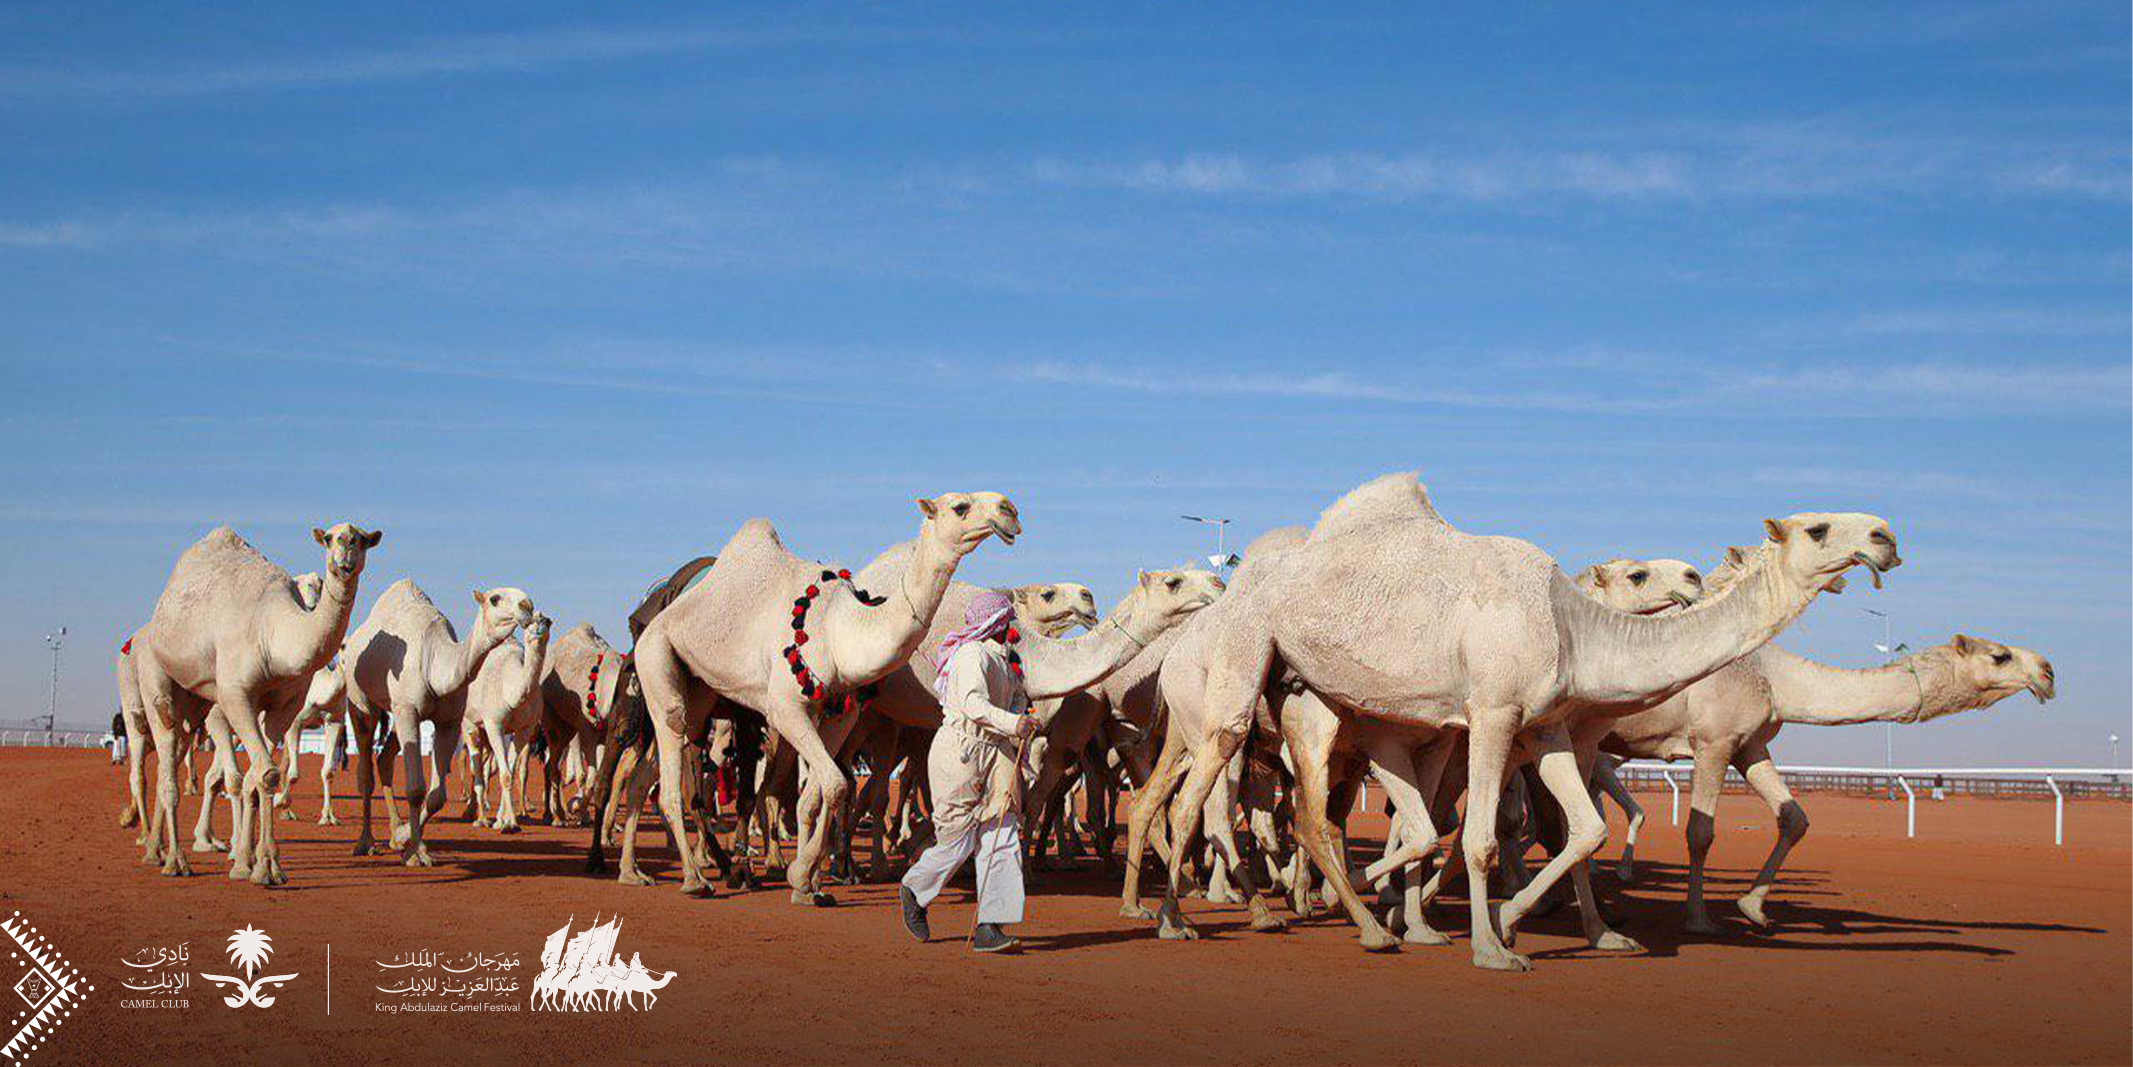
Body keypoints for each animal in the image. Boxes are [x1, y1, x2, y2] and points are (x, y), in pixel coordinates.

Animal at [123, 524, 379, 883]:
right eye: (330, 538)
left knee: (172, 760)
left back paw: (156, 849)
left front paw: (258, 863)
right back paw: (174, 859)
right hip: (154, 682)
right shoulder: (235, 695)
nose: (346, 554)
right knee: (162, 757)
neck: (272, 632)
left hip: (193, 705)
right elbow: (263, 774)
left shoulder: (285, 706)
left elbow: (260, 776)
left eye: (363, 539)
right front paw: (259, 865)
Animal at [345, 580, 537, 862]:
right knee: (365, 770)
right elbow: (415, 789)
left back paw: (394, 833)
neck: (433, 662)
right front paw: (415, 854)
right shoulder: (409, 711)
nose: (527, 606)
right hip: (360, 701)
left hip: (396, 713)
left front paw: (409, 840)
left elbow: (437, 796)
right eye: (494, 599)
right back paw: (365, 843)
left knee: (385, 760)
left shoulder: (448, 721)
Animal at [462, 610, 554, 832]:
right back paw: (479, 818)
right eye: (529, 622)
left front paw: (505, 820)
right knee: (476, 767)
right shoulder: (494, 723)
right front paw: (507, 822)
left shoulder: (525, 728)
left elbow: (510, 773)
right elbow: (504, 775)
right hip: (469, 725)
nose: (539, 627)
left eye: (548, 621)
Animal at [1134, 473, 1902, 968]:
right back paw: (1189, 919)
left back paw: (1354, 916)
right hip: (1249, 654)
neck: (1572, 625)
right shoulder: (1493, 710)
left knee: (1296, 812)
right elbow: (1475, 837)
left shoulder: (1547, 725)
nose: (1887, 535)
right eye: (1818, 527)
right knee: (1213, 784)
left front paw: (1528, 923)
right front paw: (1490, 946)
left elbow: (1582, 827)